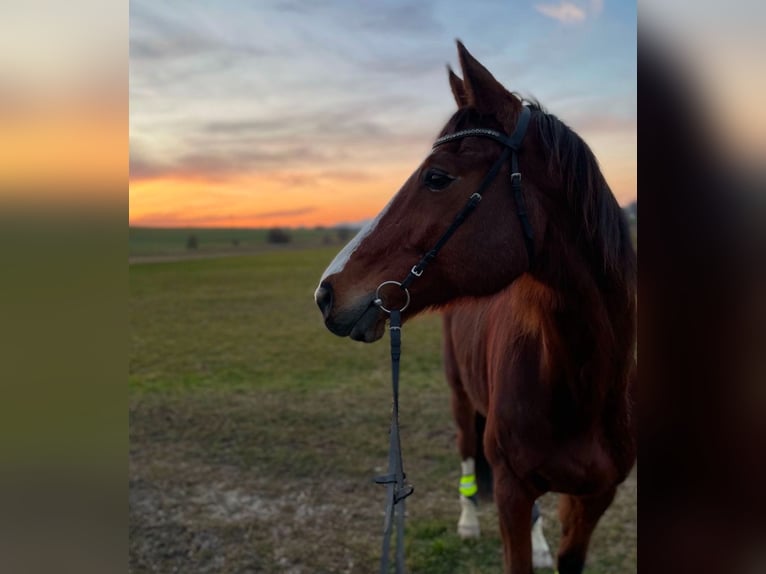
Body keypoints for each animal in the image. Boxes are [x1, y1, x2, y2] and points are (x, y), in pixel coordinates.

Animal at [314, 41, 636, 574]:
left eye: (437, 177)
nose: (326, 292)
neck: (580, 385)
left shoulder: (594, 498)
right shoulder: (509, 489)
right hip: (461, 400)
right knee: (466, 454)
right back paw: (467, 523)